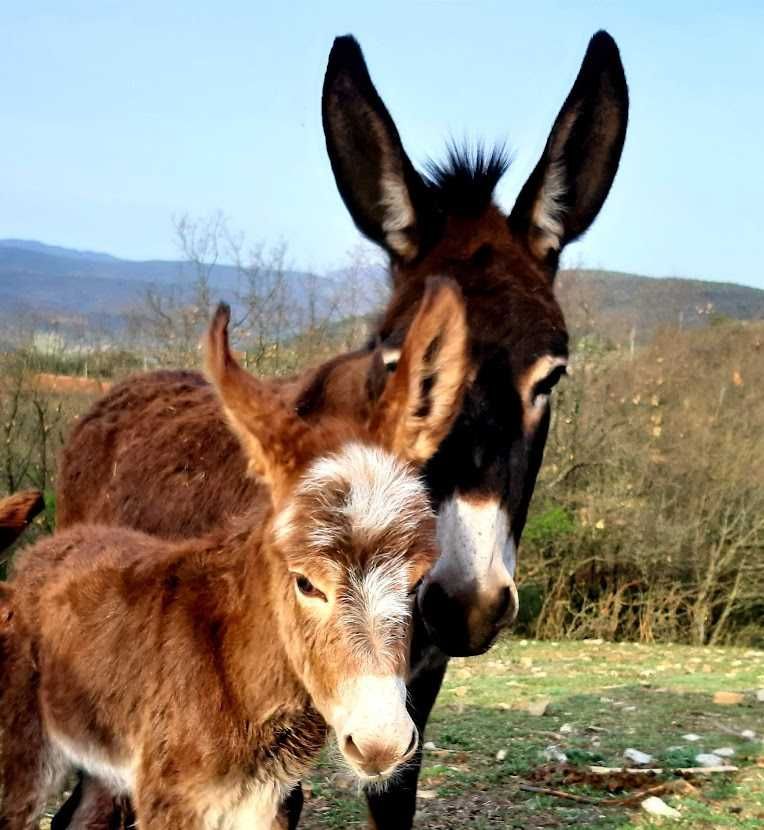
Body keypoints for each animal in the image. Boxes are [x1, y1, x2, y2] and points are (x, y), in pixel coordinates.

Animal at [0, 282, 468, 830]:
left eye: (415, 582)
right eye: (305, 582)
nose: (382, 744)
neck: (236, 673)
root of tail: (39, 555)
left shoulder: (266, 803)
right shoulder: (173, 801)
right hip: (23, 757)